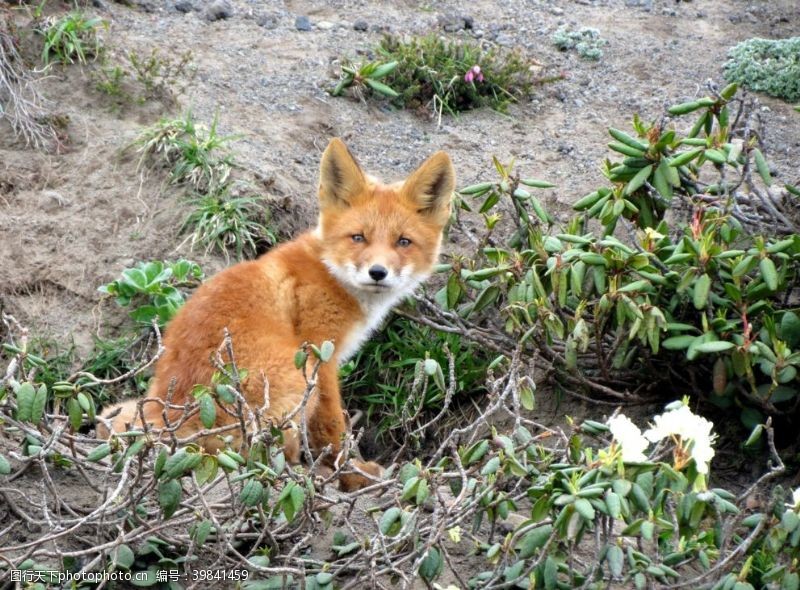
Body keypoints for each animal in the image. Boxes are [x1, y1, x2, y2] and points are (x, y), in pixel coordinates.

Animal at [97, 138, 454, 490]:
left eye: (403, 242)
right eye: (358, 237)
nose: (378, 272)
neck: (329, 272)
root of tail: (179, 413)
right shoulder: (320, 354)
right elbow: (333, 425)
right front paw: (352, 473)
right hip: (296, 376)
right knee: (259, 456)